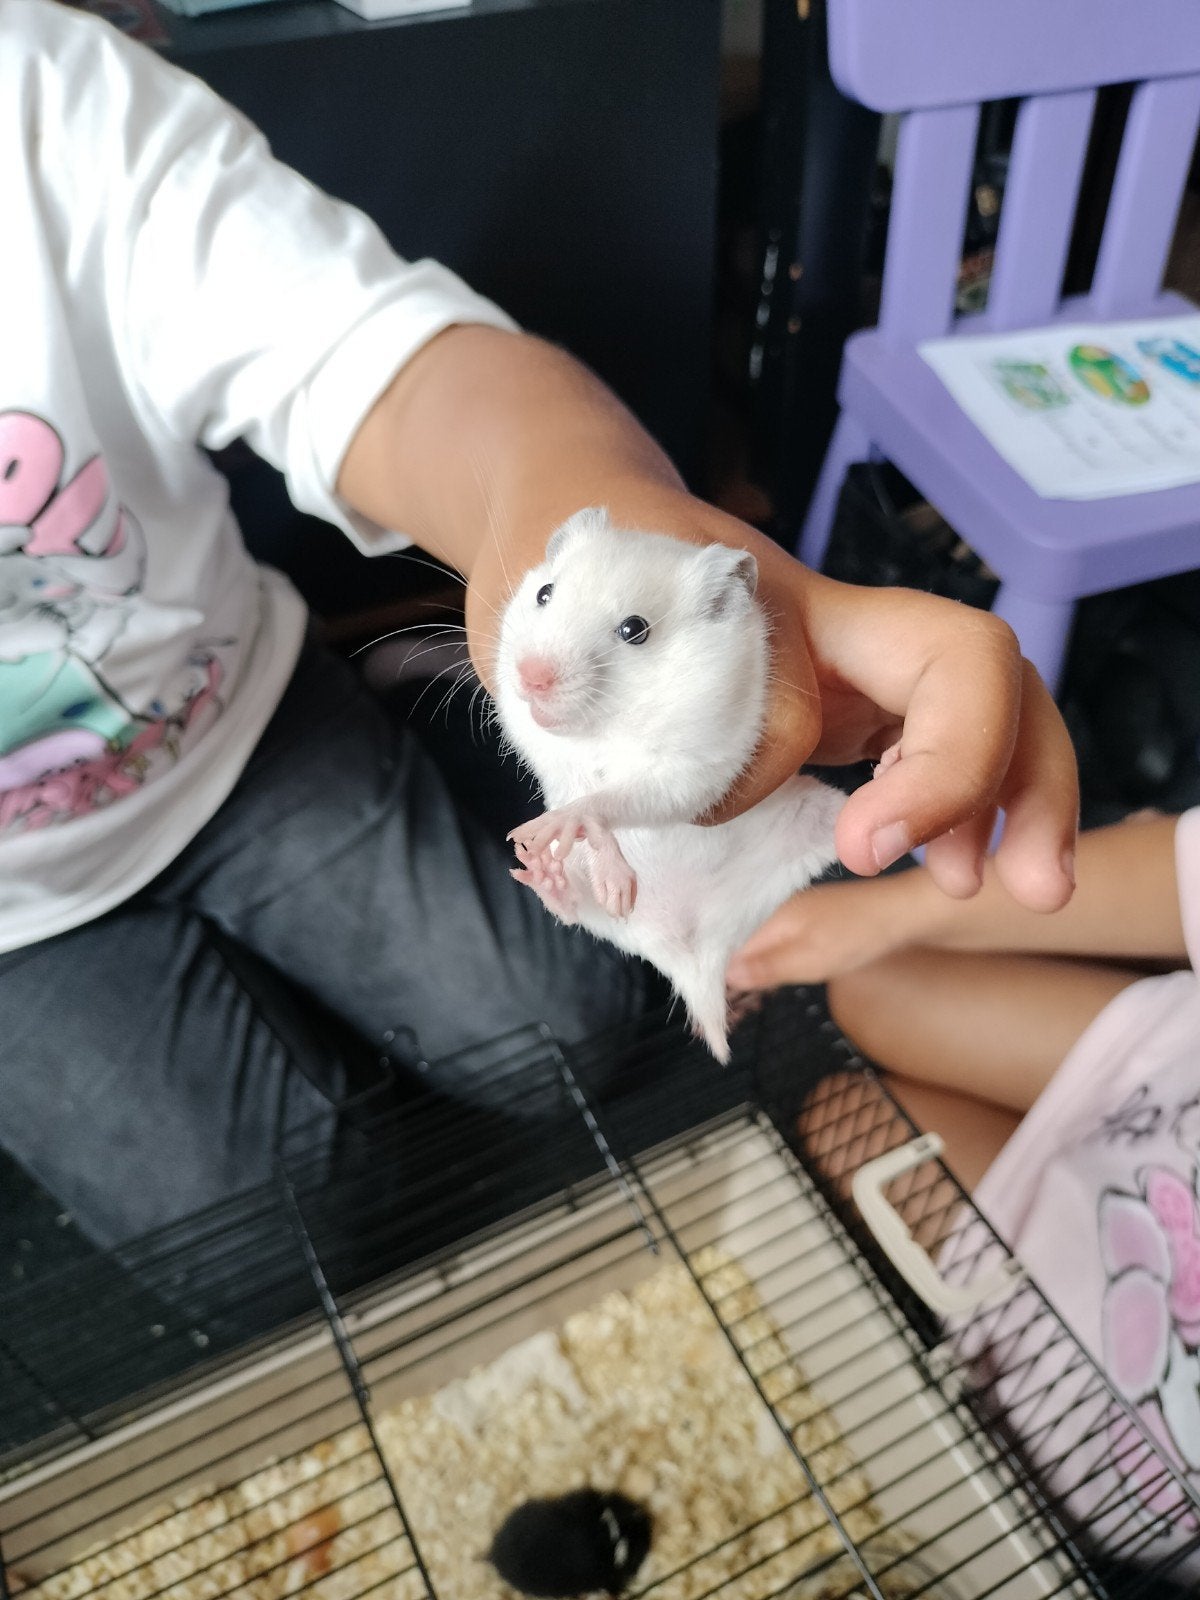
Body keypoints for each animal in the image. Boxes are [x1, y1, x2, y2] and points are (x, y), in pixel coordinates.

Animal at [495, 508, 844, 1062]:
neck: (607, 726)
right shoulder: (554, 758)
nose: (531, 677)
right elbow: (585, 790)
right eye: (544, 593)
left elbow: (614, 799)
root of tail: (691, 955)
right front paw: (541, 838)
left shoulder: (689, 772)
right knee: (579, 912)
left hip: (811, 819)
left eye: (634, 630)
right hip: (612, 922)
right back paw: (546, 870)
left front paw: (563, 831)